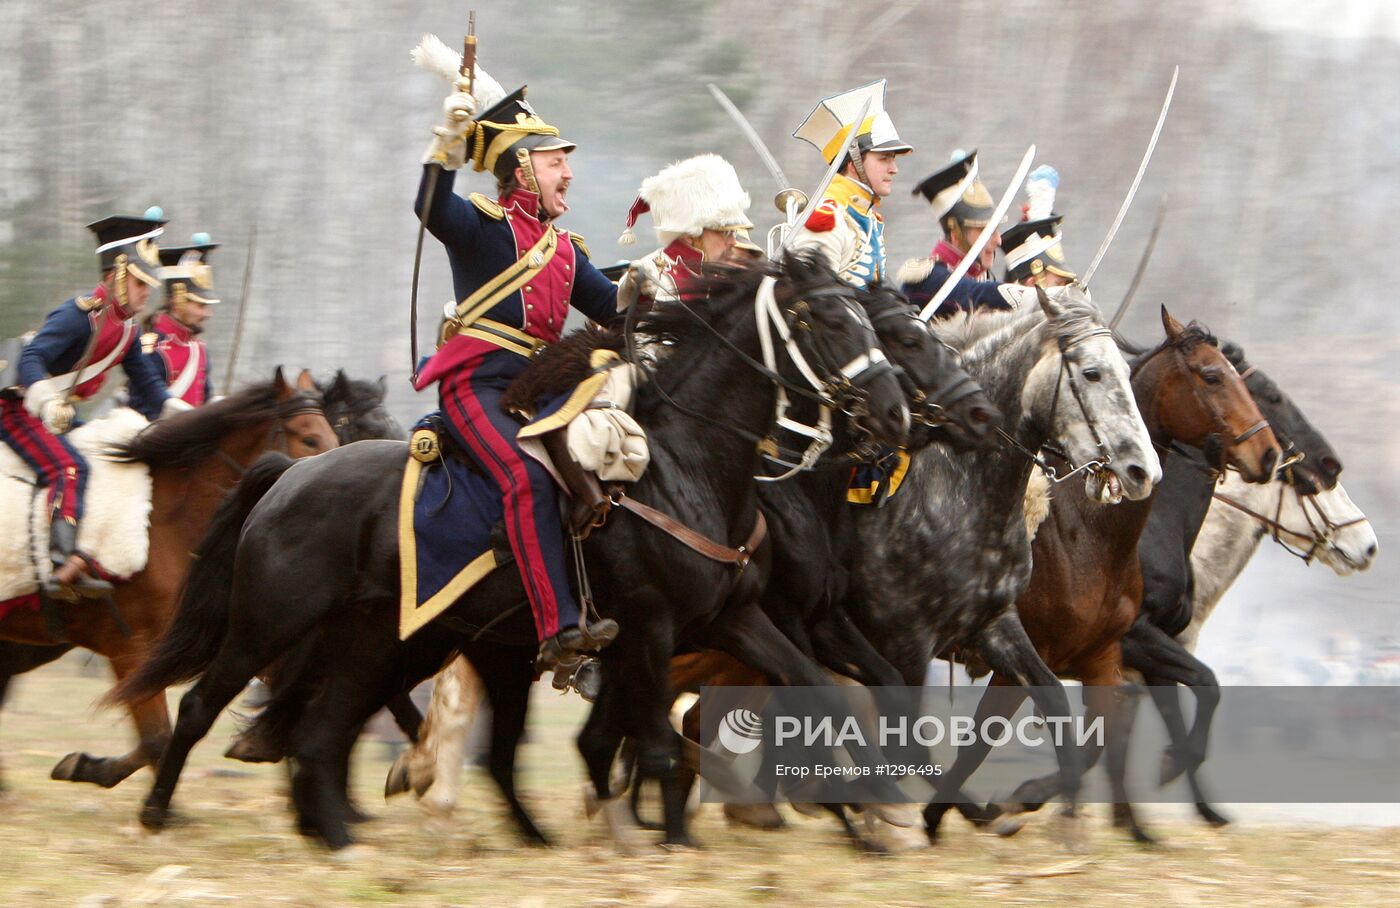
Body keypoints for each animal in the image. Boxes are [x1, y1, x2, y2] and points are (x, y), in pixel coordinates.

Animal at [117, 253, 907, 850]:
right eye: (824, 319)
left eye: (867, 318)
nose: (894, 415)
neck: (684, 466)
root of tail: (290, 475)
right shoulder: (649, 632)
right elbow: (655, 743)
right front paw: (674, 841)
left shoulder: (733, 620)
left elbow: (810, 685)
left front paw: (862, 804)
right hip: (268, 624)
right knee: (205, 707)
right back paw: (159, 813)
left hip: (382, 643)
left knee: (322, 733)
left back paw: (348, 836)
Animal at [840, 285, 1159, 845]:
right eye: (1091, 372)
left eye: (1125, 369)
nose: (1142, 470)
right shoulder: (905, 643)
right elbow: (911, 739)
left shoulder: (998, 625)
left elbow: (1054, 705)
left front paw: (1048, 813)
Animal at [924, 307, 1282, 839]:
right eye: (1212, 376)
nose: (1270, 454)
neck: (1088, 535)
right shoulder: (1034, 661)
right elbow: (987, 745)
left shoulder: (1107, 657)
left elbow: (1165, 706)